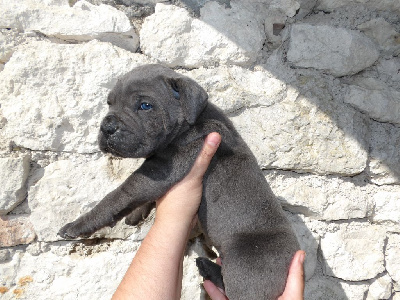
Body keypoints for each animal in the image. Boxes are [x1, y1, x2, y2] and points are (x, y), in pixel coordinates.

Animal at [58, 64, 300, 298]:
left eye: (145, 106)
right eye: (109, 104)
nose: (107, 128)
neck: (191, 121)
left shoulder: (163, 168)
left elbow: (120, 194)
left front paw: (78, 225)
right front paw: (137, 214)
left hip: (247, 264)